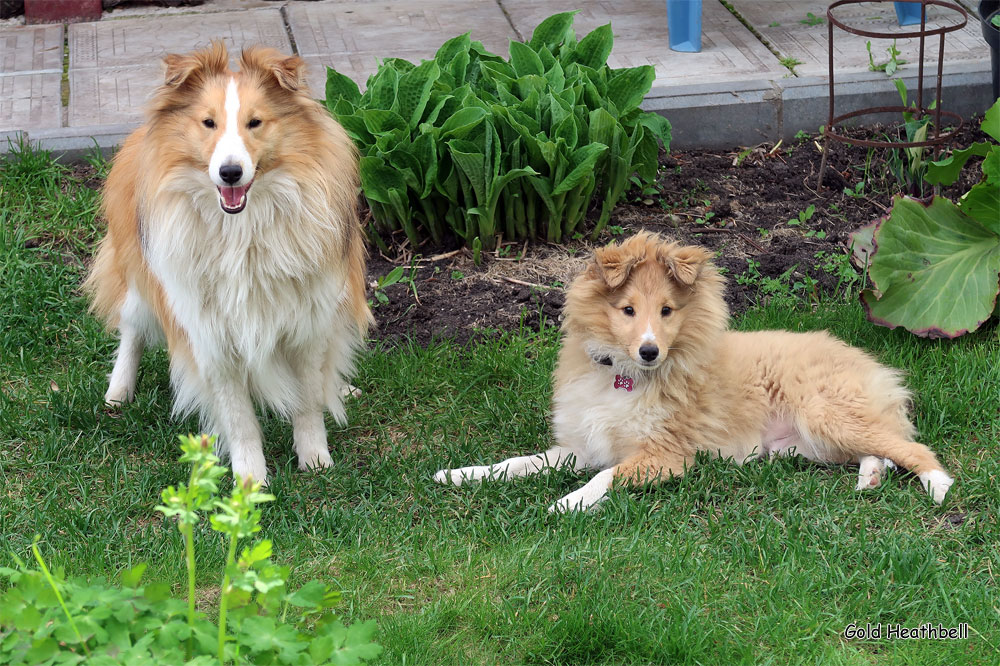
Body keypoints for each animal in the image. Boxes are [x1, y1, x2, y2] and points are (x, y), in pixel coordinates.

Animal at [85, 42, 372, 482]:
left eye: (255, 122)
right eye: (208, 123)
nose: (231, 172)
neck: (243, 231)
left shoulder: (308, 323)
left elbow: (308, 399)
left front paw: (314, 458)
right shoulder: (212, 336)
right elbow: (239, 420)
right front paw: (250, 481)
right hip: (141, 279)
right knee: (131, 326)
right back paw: (118, 391)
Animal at [436, 231, 952, 510]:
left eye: (667, 311)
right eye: (627, 309)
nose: (649, 351)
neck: (625, 376)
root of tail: (868, 362)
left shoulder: (665, 455)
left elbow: (606, 477)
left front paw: (569, 502)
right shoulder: (580, 447)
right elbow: (519, 463)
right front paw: (459, 475)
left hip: (827, 413)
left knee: (912, 447)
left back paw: (938, 487)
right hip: (811, 442)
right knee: (881, 448)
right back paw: (870, 479)